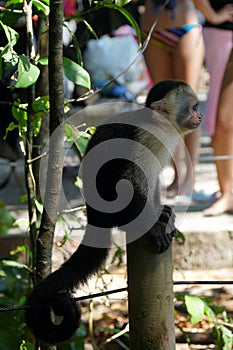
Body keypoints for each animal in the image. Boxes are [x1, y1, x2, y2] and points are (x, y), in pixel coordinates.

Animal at [24, 80, 201, 344]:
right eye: (194, 107)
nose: (200, 116)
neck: (158, 123)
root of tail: (94, 213)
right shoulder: (147, 137)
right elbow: (131, 181)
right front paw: (153, 227)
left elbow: (153, 179)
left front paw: (162, 213)